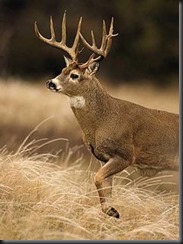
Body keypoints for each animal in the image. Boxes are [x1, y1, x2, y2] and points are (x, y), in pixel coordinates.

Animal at [34, 11, 179, 218]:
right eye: (62, 70)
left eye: (75, 75)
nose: (50, 83)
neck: (100, 122)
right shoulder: (103, 157)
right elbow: (105, 187)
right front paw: (111, 211)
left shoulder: (125, 154)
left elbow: (96, 178)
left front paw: (112, 211)